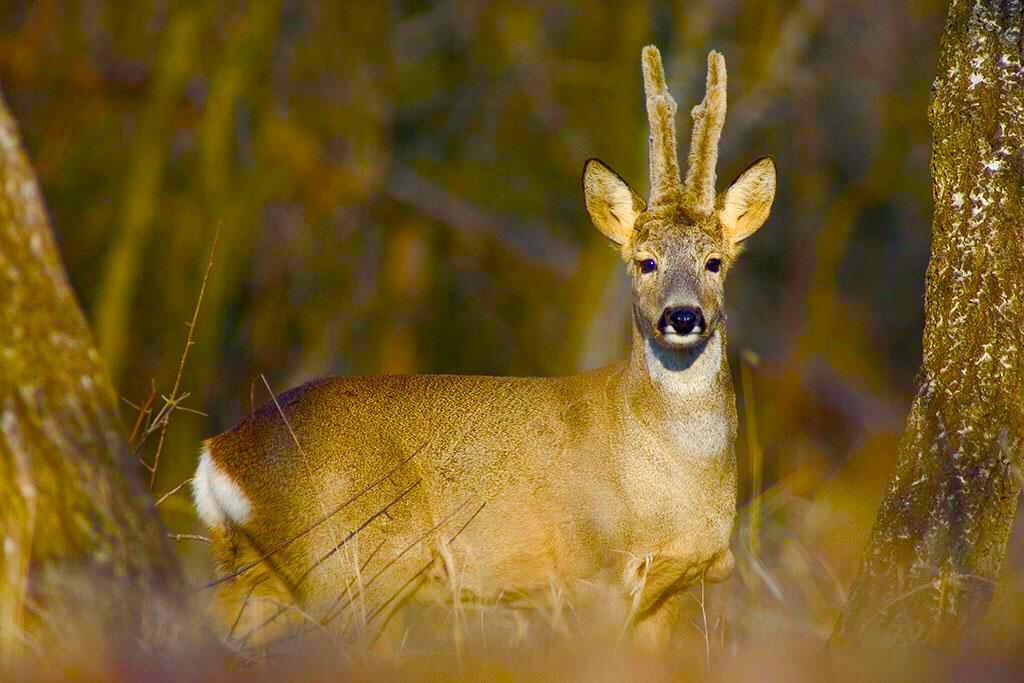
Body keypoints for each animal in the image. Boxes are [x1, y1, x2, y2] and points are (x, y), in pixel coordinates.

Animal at [193, 45, 774, 651]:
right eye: (646, 261)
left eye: (714, 261)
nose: (682, 316)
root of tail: (217, 453)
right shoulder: (591, 570)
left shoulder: (671, 588)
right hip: (345, 568)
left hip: (261, 581)